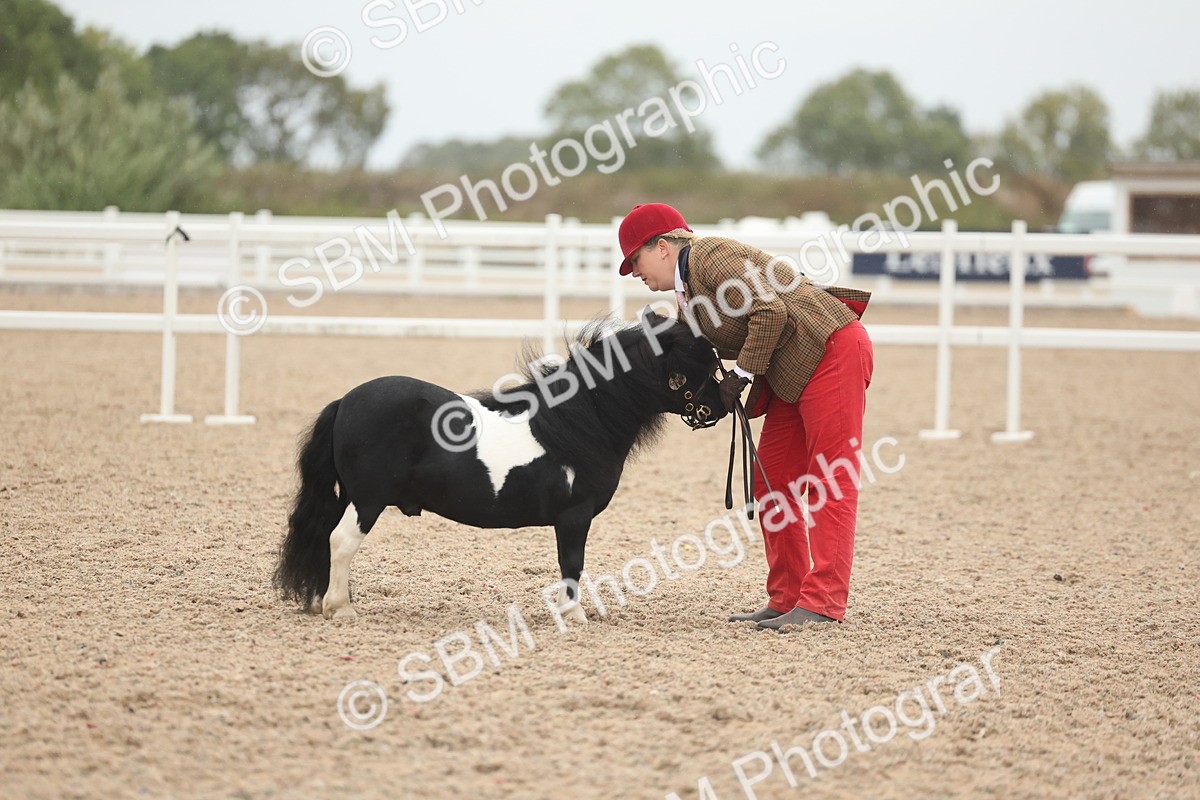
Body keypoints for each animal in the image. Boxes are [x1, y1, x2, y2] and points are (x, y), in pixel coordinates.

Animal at [273, 309, 728, 621]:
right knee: (341, 541)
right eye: (697, 364)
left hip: (350, 496)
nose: (724, 406)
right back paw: (341, 608)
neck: (578, 422)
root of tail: (345, 402)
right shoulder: (574, 515)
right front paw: (574, 615)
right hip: (368, 500)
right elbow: (572, 563)